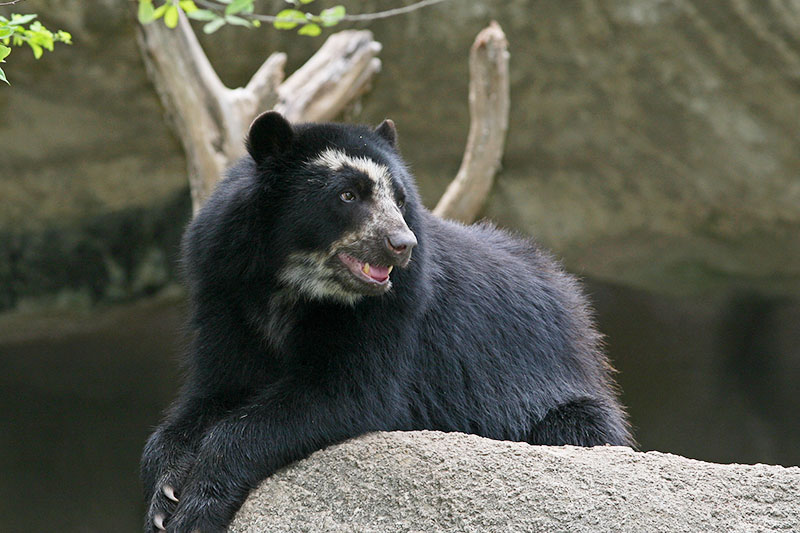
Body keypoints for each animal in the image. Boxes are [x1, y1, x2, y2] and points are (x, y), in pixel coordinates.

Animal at [142, 110, 632, 528]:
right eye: (347, 195)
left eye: (399, 198)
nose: (402, 244)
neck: (291, 283)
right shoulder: (224, 289)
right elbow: (214, 392)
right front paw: (164, 494)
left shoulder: (393, 311)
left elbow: (344, 392)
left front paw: (196, 508)